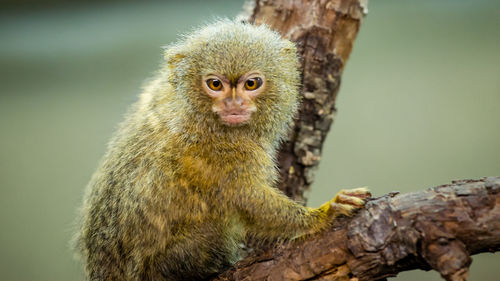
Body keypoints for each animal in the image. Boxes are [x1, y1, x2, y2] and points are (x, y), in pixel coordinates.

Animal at [74, 19, 372, 280]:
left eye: (251, 84)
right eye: (215, 84)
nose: (234, 104)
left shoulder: (158, 92)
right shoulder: (222, 152)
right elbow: (249, 200)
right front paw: (323, 214)